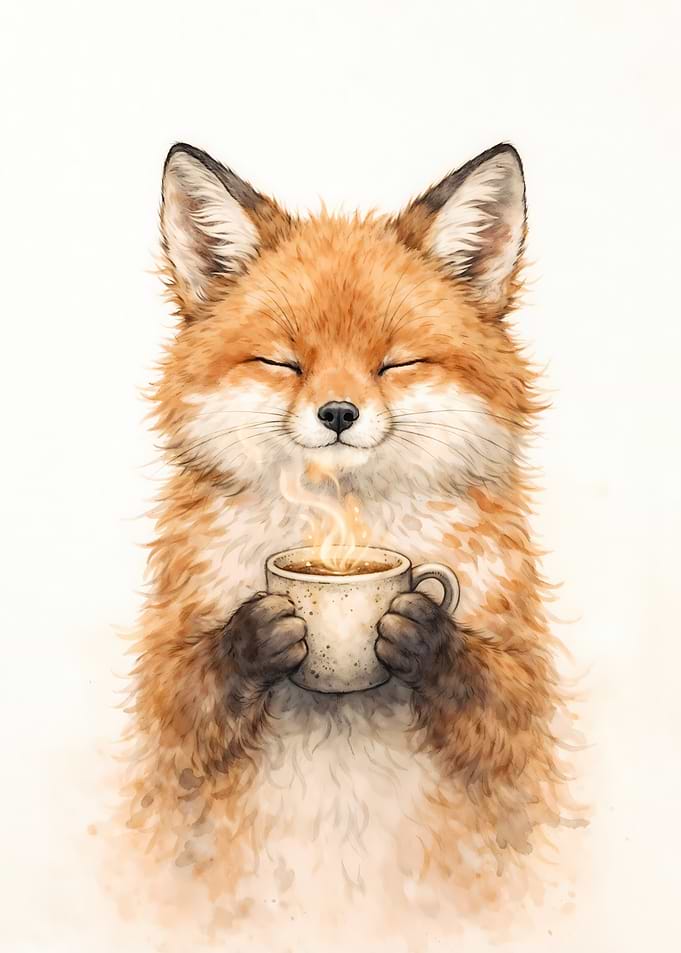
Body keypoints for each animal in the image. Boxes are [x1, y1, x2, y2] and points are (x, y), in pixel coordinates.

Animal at [121, 141, 581, 942]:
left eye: (395, 362)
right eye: (283, 362)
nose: (338, 412)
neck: (342, 529)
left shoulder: (520, 699)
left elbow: (501, 708)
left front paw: (424, 637)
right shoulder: (168, 696)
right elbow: (181, 707)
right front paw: (256, 638)